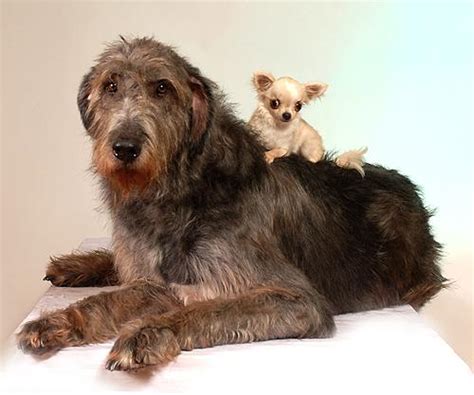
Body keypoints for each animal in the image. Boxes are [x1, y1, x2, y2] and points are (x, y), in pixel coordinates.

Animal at [15, 36, 444, 372]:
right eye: (110, 85)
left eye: (162, 88)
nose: (124, 148)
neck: (179, 191)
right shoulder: (156, 275)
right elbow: (119, 295)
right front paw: (55, 320)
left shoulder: (295, 300)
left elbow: (207, 309)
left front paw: (149, 332)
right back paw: (76, 266)